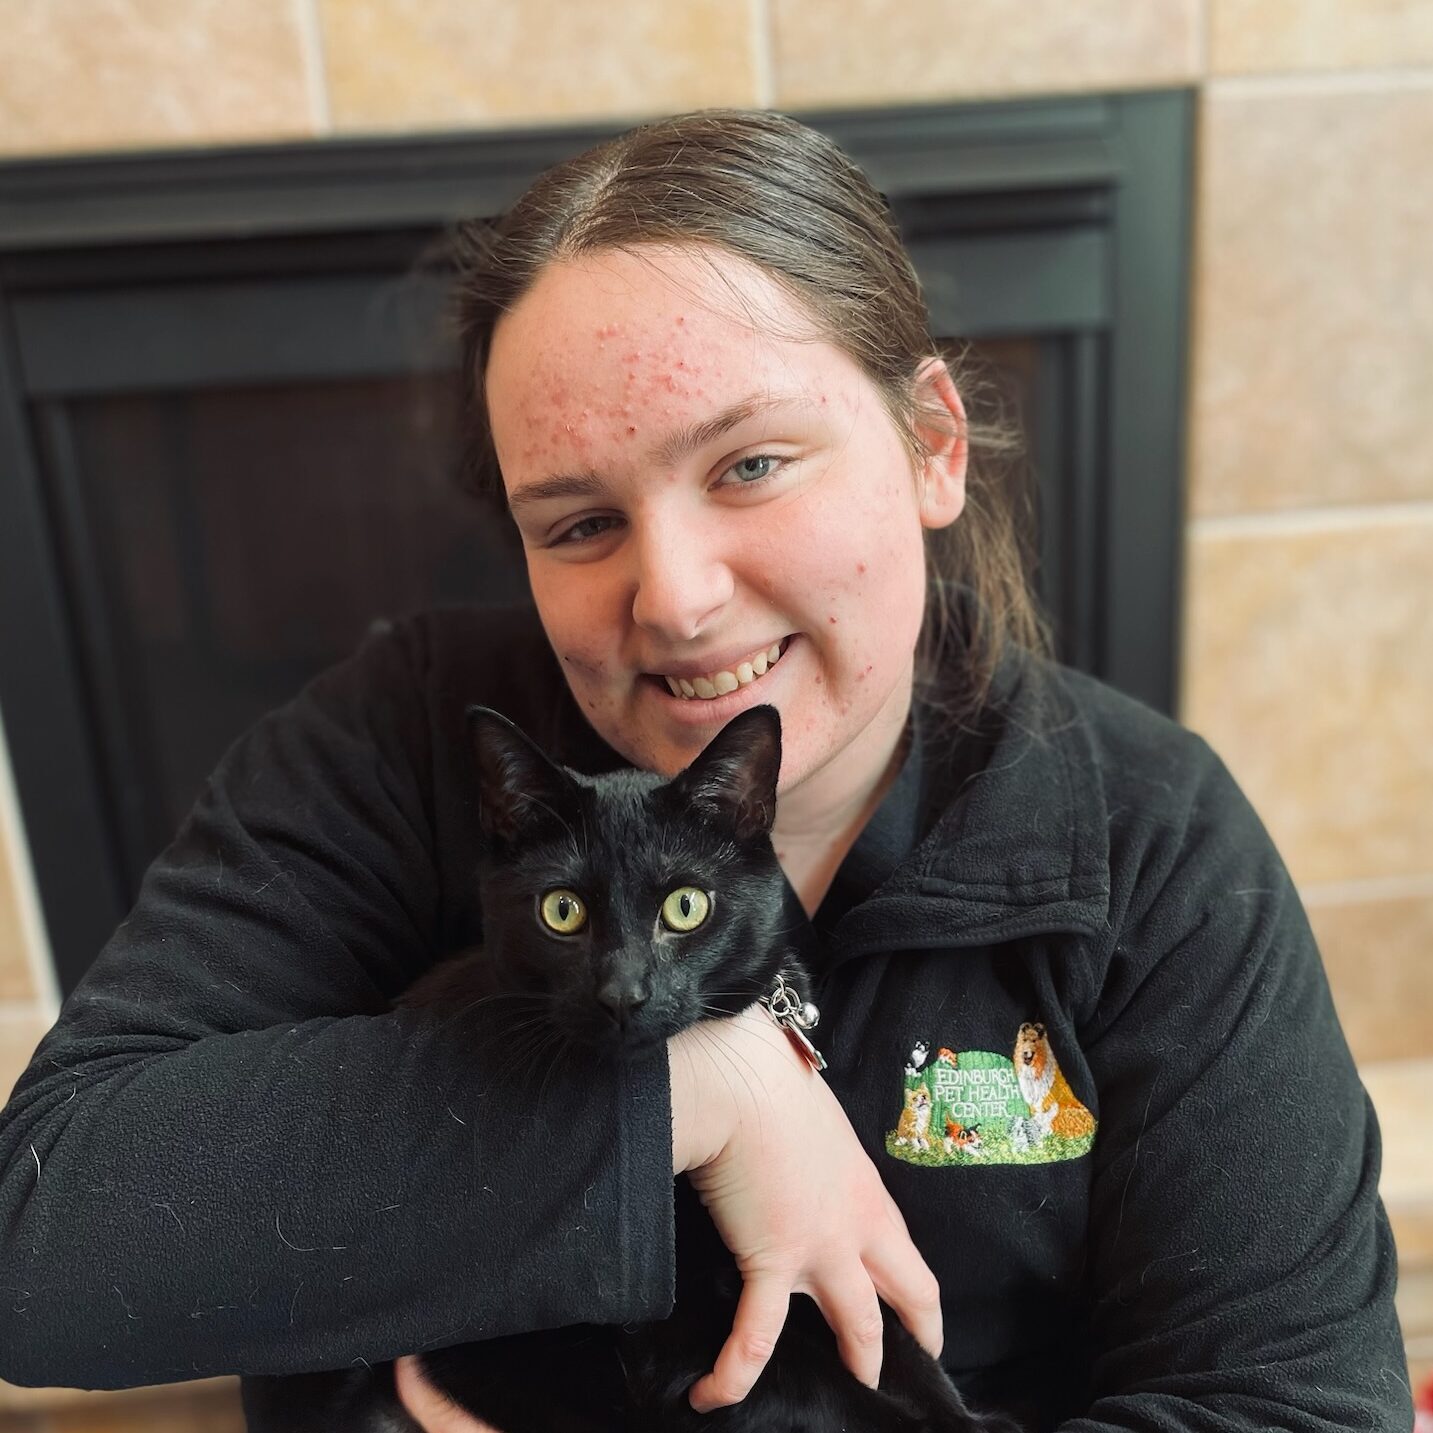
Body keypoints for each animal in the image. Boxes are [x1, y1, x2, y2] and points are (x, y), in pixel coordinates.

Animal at [240, 702, 1020, 1433]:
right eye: (561, 910)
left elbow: (892, 1339)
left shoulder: (824, 1262)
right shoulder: (685, 1356)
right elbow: (828, 1392)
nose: (623, 992)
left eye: (686, 905)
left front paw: (967, 1412)